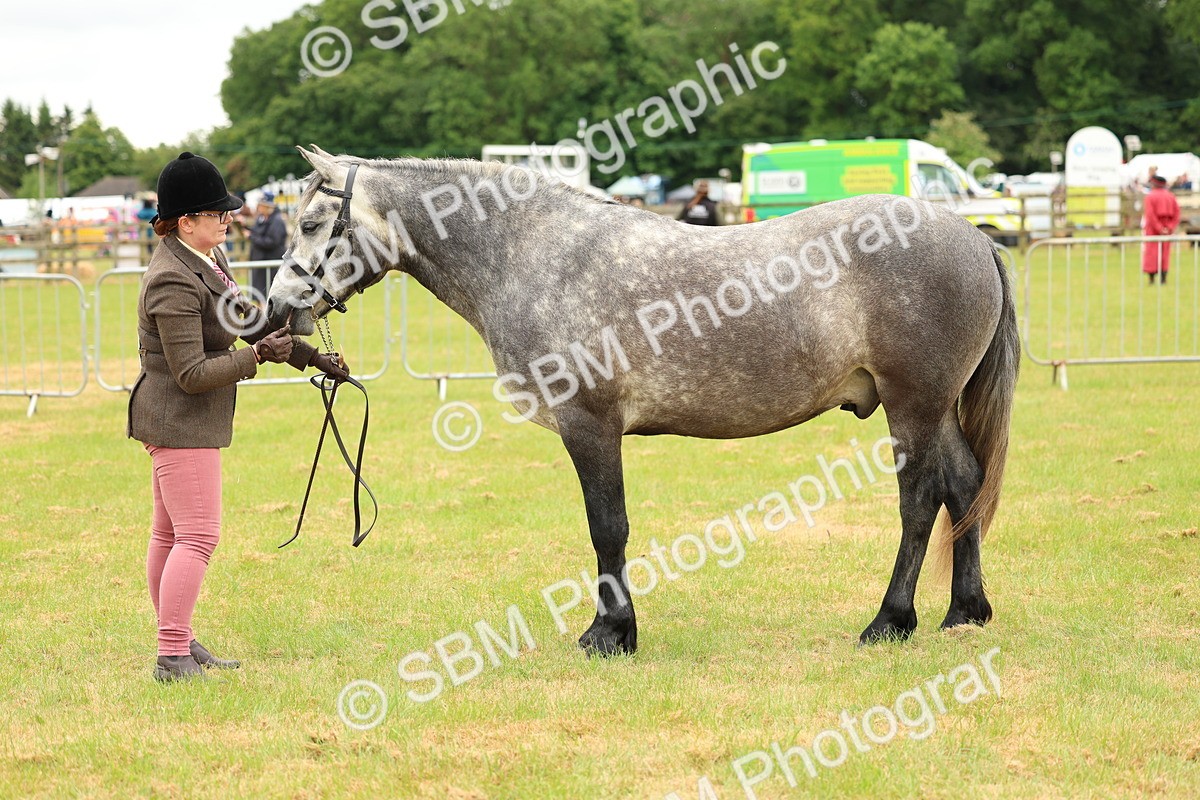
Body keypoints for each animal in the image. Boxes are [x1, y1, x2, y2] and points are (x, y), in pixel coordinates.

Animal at [266, 146, 1018, 656]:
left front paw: (610, 632)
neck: (535, 254)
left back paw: (891, 621)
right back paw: (965, 611)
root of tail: (973, 236)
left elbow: (608, 527)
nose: (271, 309)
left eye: (314, 222)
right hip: (937, 408)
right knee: (964, 484)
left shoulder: (589, 424)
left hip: (914, 405)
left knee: (920, 501)